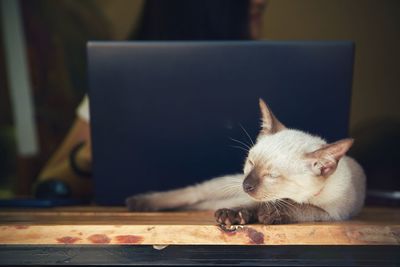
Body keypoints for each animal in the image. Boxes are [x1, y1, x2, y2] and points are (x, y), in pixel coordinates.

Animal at [126, 99, 366, 226]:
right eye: (250, 162)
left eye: (272, 175)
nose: (246, 185)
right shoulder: (250, 197)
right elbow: (251, 205)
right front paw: (232, 216)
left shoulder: (333, 215)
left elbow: (302, 209)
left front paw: (270, 214)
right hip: (219, 187)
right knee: (193, 193)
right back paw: (139, 203)